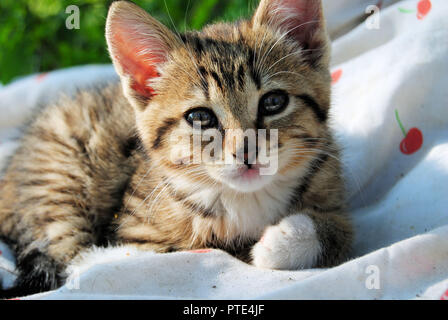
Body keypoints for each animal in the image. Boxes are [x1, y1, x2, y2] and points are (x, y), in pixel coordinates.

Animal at [0, 0, 352, 298]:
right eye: (200, 117)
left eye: (274, 101)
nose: (246, 152)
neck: (245, 198)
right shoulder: (136, 226)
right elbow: (158, 252)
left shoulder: (330, 185)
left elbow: (342, 231)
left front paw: (283, 240)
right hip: (62, 171)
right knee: (66, 255)